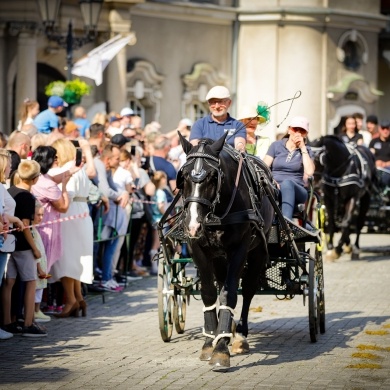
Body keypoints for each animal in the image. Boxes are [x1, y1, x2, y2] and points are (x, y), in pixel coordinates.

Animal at [177, 133, 274, 372]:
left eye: (213, 176)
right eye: (183, 176)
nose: (193, 224)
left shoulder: (240, 249)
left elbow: (230, 293)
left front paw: (221, 350)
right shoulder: (198, 249)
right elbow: (210, 293)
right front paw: (210, 341)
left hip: (257, 251)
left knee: (247, 289)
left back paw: (239, 335)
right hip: (219, 258)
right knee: (221, 286)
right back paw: (226, 332)